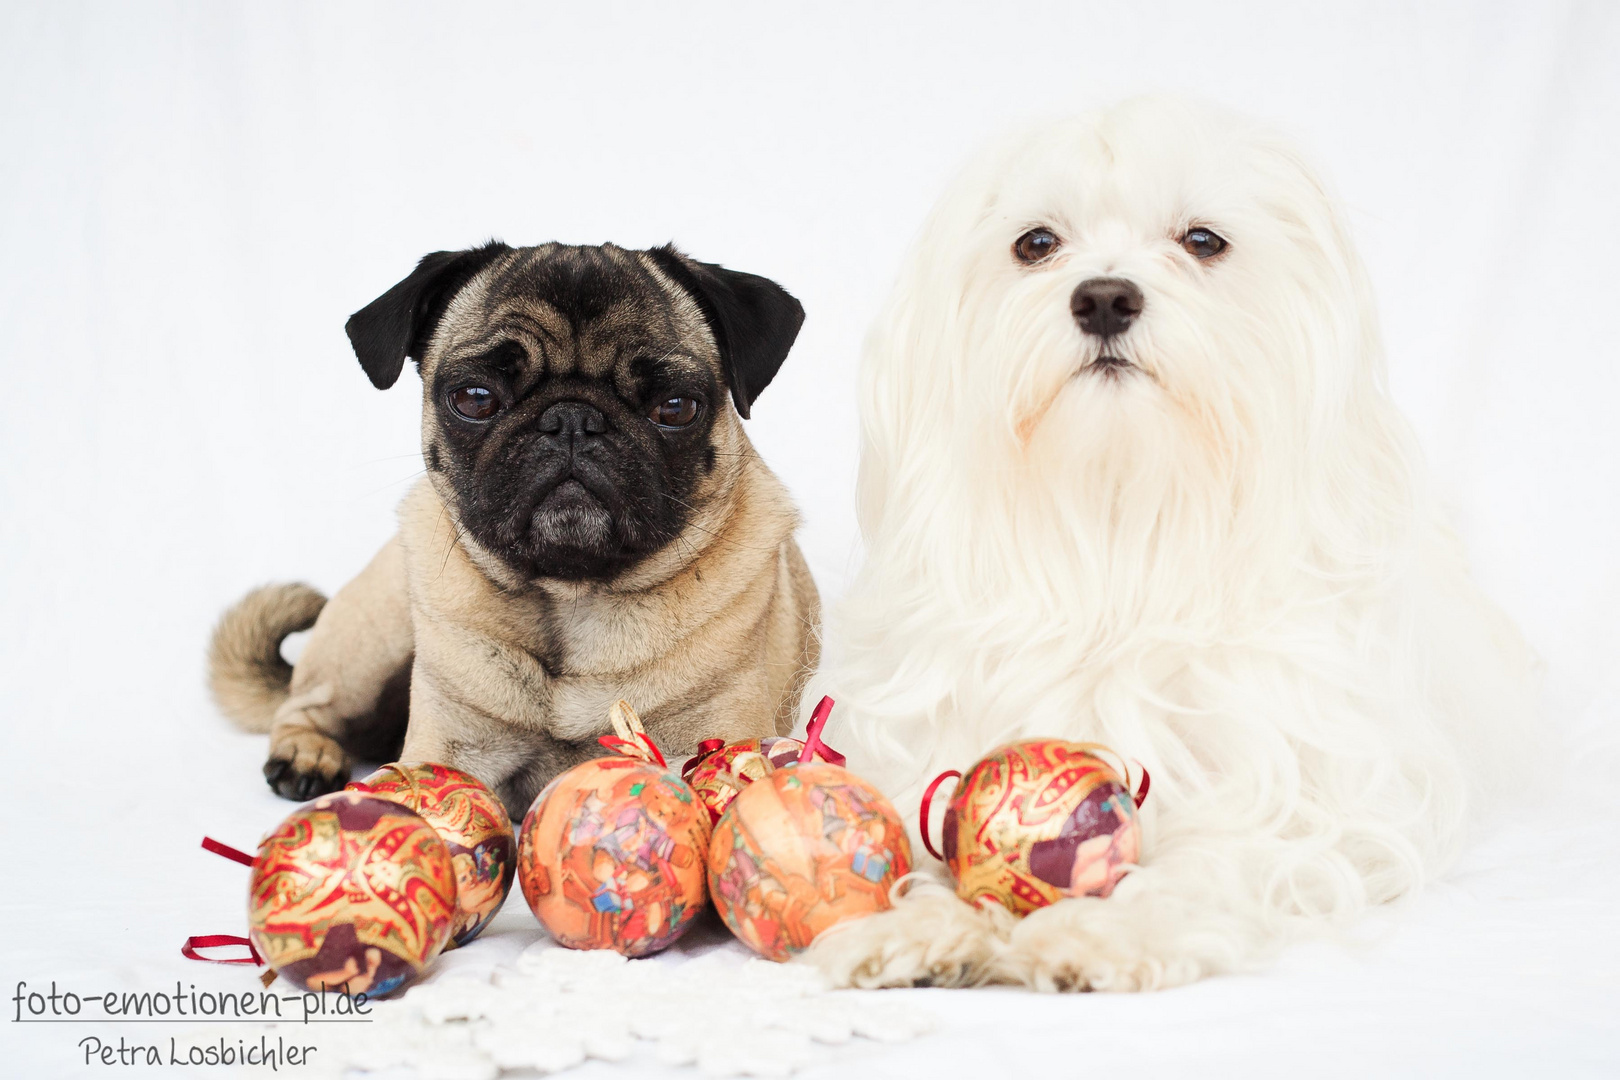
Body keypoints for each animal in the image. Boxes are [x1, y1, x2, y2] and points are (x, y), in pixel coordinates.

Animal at [803, 97, 1535, 990]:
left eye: (1203, 240)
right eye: (1036, 243)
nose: (1105, 298)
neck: (1124, 533)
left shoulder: (1312, 800)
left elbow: (1217, 856)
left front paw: (1108, 930)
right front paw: (919, 923)